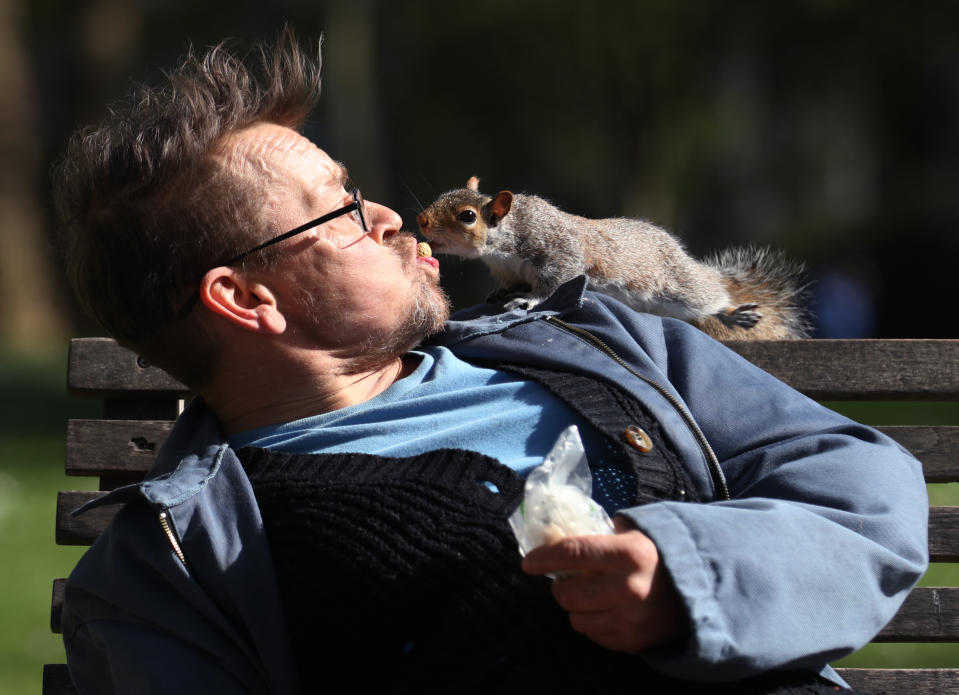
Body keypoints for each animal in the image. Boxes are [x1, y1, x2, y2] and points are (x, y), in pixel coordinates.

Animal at [418, 177, 808, 342]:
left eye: (468, 216)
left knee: (708, 294)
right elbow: (509, 285)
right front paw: (501, 294)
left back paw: (731, 311)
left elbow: (554, 282)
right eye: (443, 194)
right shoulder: (508, 270)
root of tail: (681, 254)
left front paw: (527, 300)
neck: (503, 245)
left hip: (678, 285)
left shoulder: (558, 251)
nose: (421, 220)